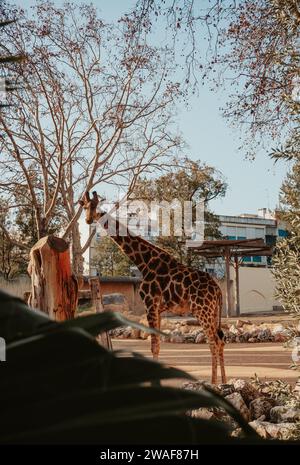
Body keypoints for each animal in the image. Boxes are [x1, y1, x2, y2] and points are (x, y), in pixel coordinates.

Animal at [79, 190, 225, 382]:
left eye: (95, 206)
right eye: (85, 207)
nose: (89, 220)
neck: (144, 262)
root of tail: (218, 290)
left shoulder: (150, 304)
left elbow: (153, 345)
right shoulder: (159, 309)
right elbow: (157, 344)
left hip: (202, 310)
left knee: (213, 341)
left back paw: (214, 383)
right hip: (213, 312)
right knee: (221, 340)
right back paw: (224, 382)